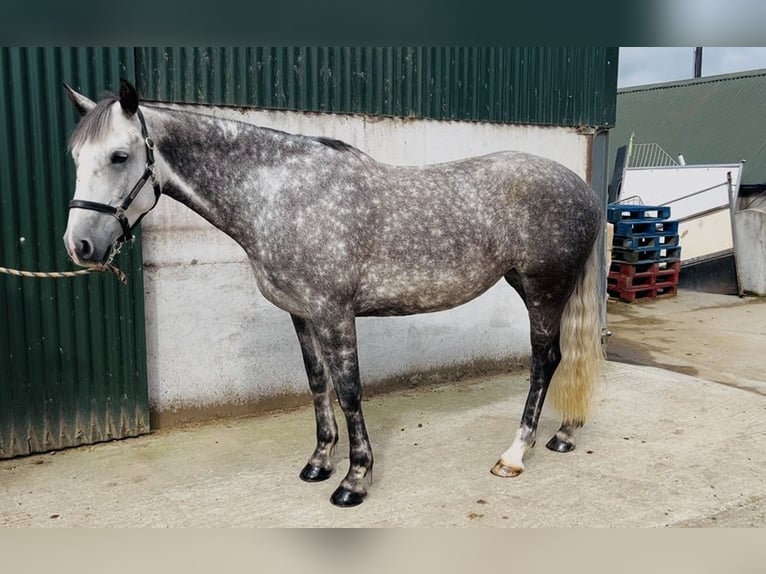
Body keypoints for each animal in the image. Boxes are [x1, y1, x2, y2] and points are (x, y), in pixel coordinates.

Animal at [63, 78, 604, 507]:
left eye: (119, 156)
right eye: (75, 158)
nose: (79, 245)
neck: (279, 195)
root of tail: (582, 188)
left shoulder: (334, 313)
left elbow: (349, 390)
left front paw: (354, 480)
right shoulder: (302, 314)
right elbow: (317, 384)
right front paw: (320, 462)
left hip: (542, 290)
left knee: (544, 361)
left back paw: (514, 455)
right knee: (564, 358)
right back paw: (564, 434)